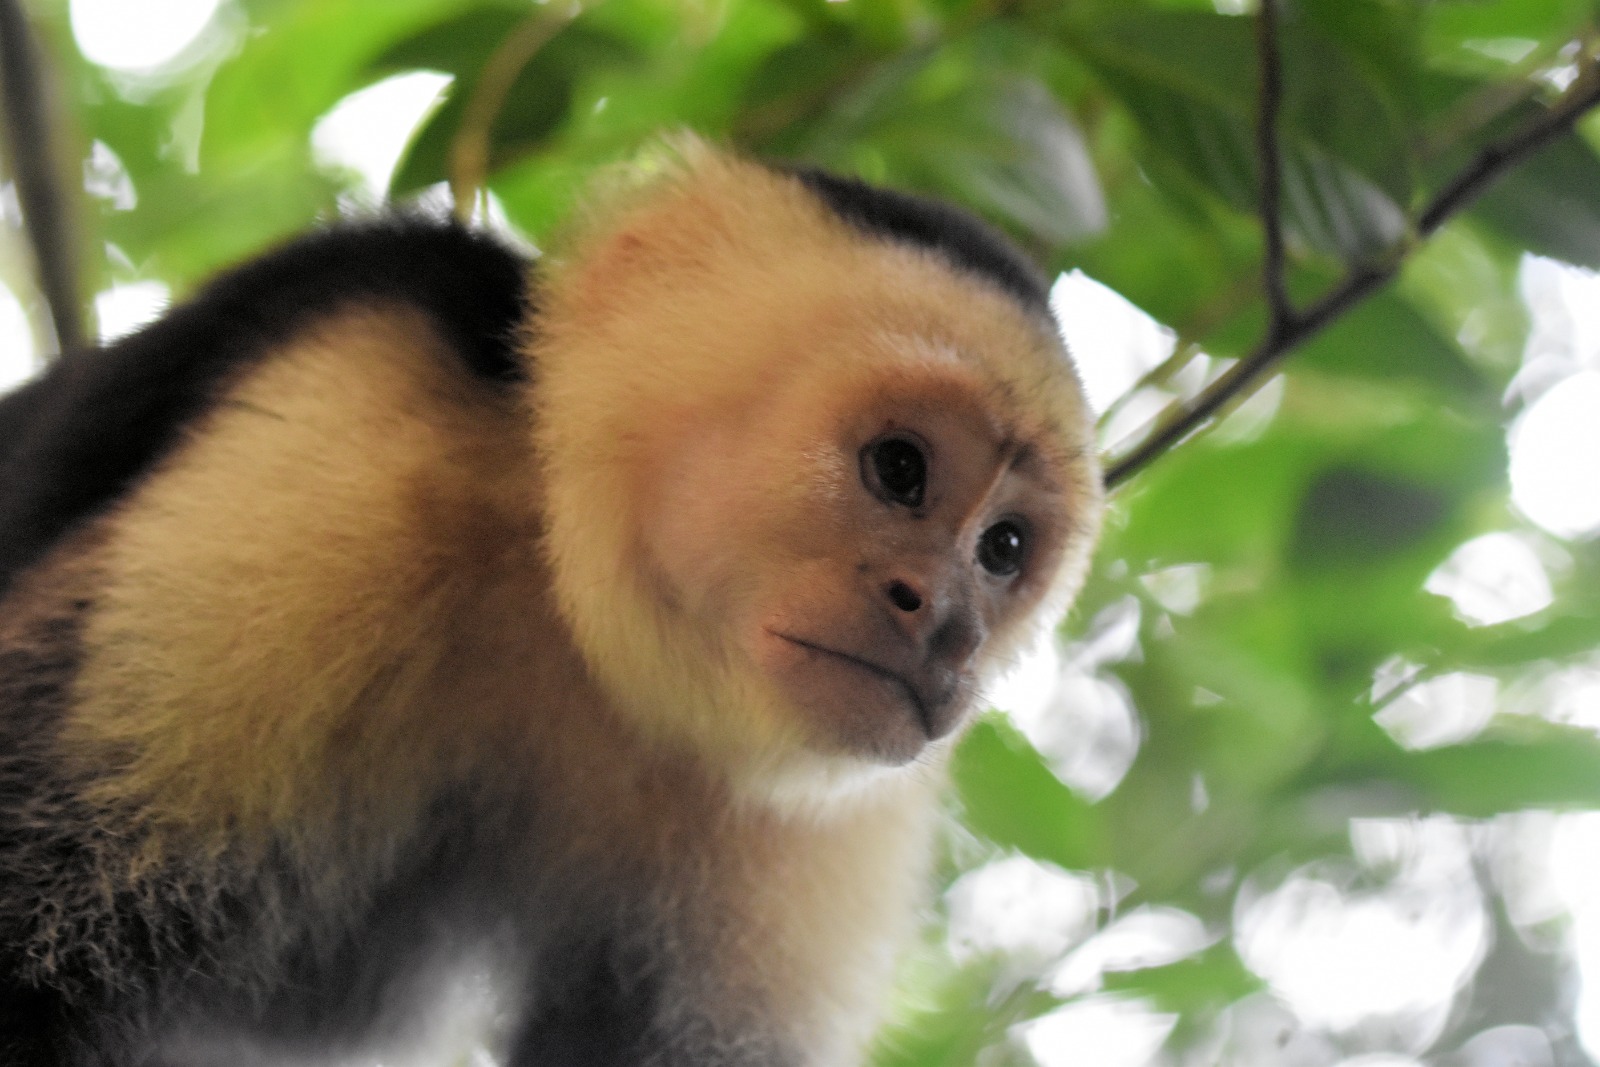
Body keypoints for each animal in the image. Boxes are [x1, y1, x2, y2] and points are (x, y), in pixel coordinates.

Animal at [0, 139, 1102, 1066]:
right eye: (899, 468)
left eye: (1004, 549)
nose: (947, 622)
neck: (565, 616)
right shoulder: (359, 430)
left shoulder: (820, 804)